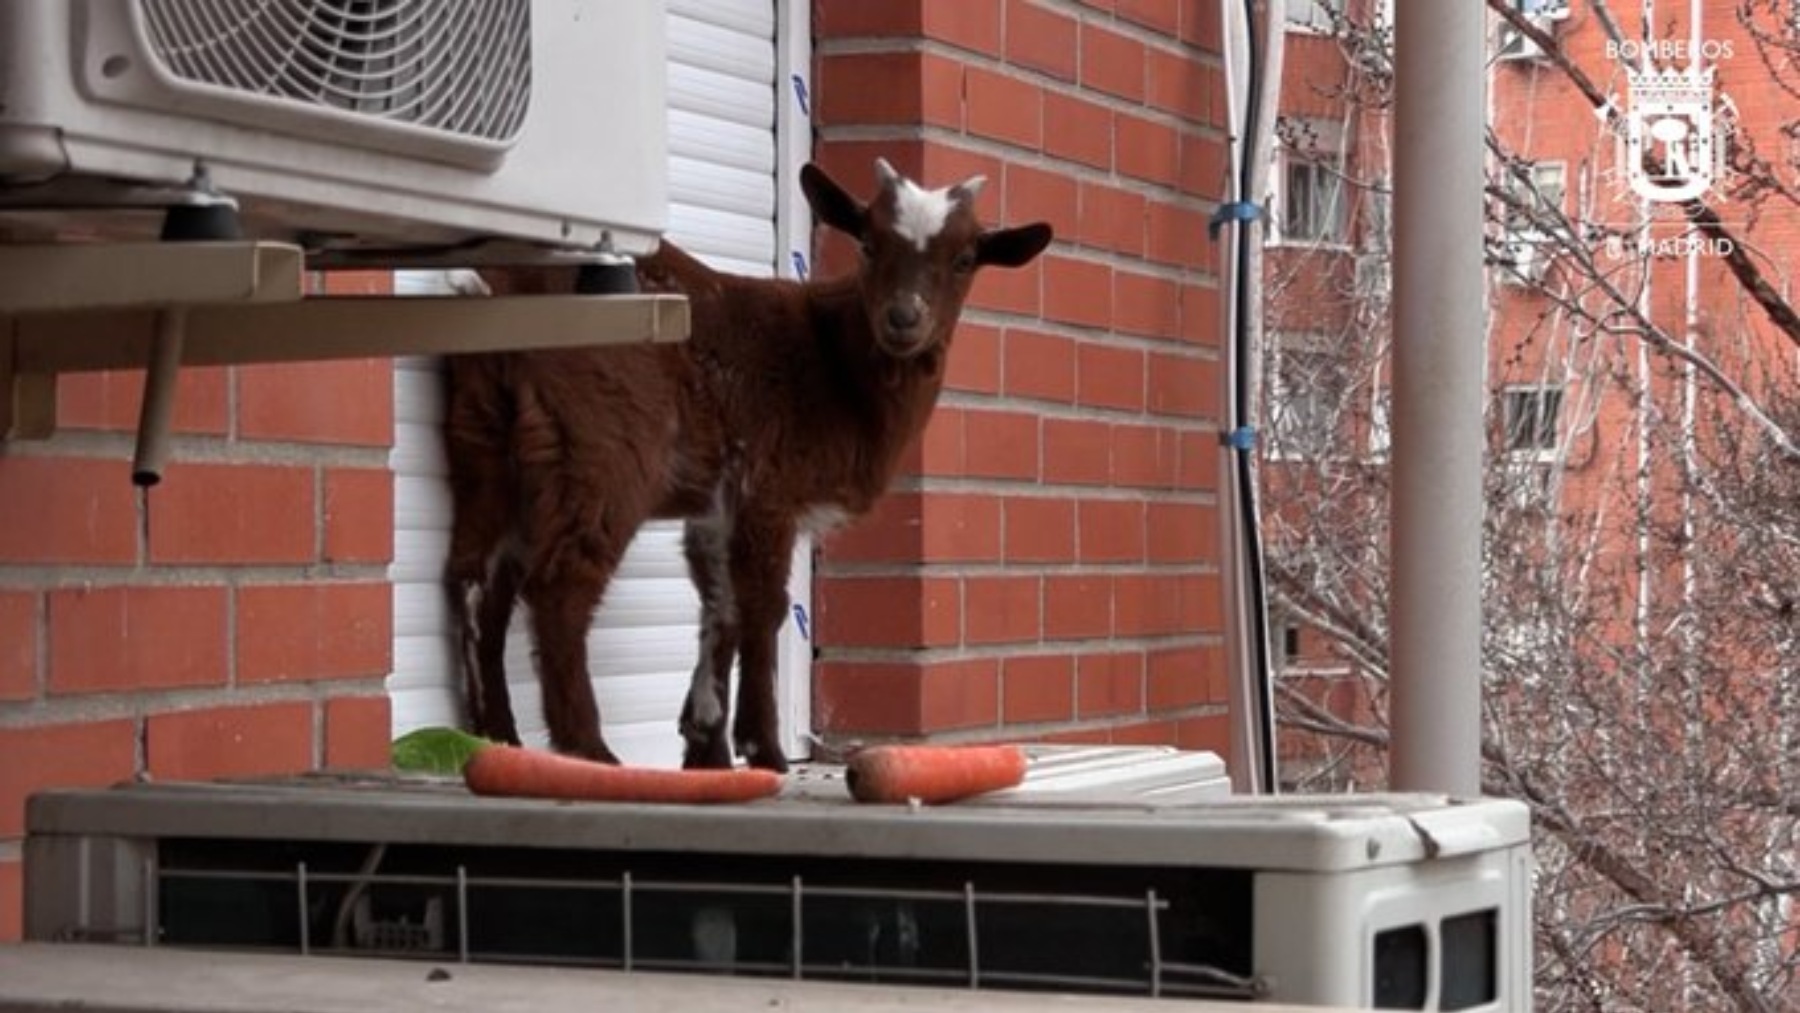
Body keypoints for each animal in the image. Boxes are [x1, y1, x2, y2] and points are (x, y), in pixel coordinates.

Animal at [439, 162, 1051, 773]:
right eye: (869, 243)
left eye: (965, 258)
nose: (903, 318)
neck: (835, 362)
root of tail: (501, 290)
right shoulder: (767, 487)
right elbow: (763, 605)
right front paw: (764, 750)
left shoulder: (719, 503)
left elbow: (720, 603)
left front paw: (705, 744)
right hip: (605, 444)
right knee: (560, 583)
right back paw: (589, 749)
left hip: (485, 437)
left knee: (473, 577)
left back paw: (496, 737)